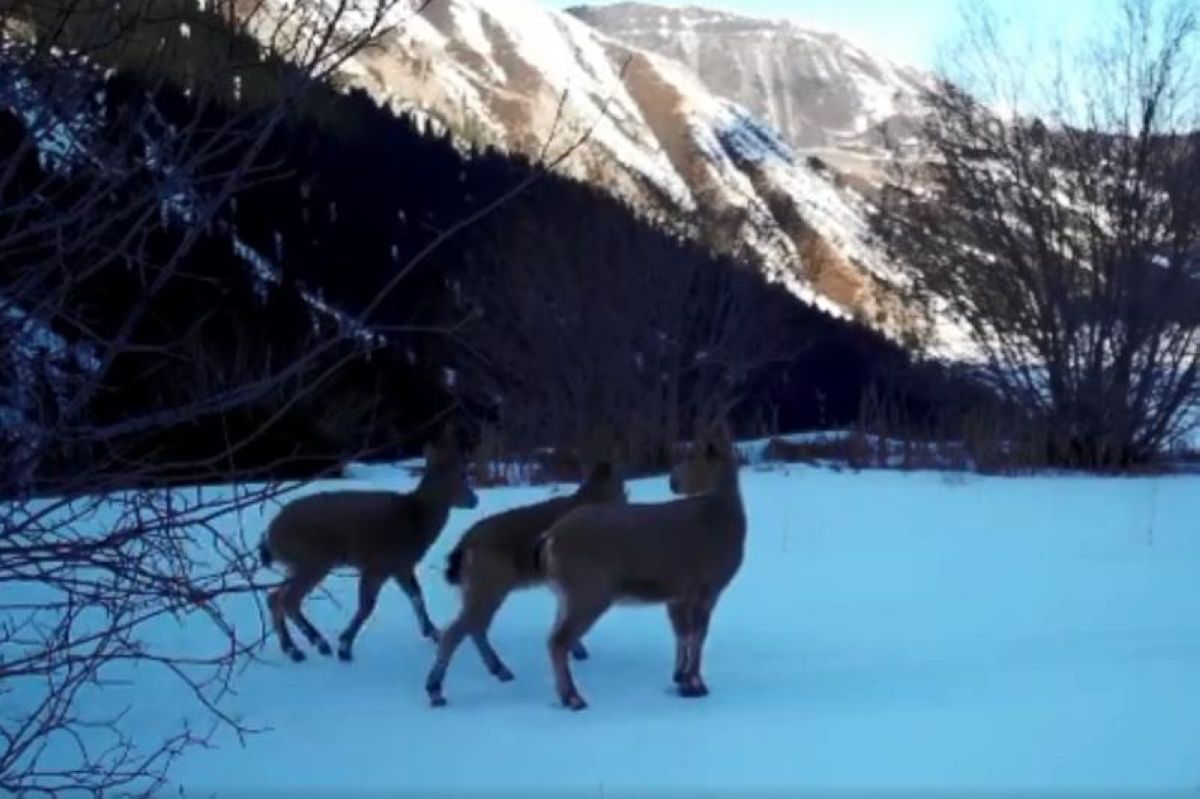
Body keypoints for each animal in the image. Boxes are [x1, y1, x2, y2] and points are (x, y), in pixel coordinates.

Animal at [258, 427, 477, 662]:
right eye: (461, 474)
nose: (474, 500)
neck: (415, 519)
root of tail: (270, 534)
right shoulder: (378, 564)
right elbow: (367, 606)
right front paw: (345, 646)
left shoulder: (401, 565)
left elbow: (416, 596)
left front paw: (434, 633)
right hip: (313, 559)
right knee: (289, 599)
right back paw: (318, 643)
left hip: (297, 563)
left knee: (274, 597)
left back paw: (292, 649)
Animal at [424, 458, 628, 705]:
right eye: (622, 486)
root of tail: (464, 545)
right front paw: (577, 649)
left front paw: (577, 650)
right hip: (489, 586)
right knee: (458, 631)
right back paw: (436, 690)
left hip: (478, 589)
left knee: (474, 627)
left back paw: (500, 670)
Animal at [535, 427, 739, 705]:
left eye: (692, 457)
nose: (672, 481)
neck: (720, 519)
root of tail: (550, 538)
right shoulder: (707, 584)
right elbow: (698, 634)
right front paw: (697, 683)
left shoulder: (678, 593)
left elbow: (682, 633)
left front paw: (680, 678)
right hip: (589, 589)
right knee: (559, 641)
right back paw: (574, 699)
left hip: (566, 594)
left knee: (552, 636)